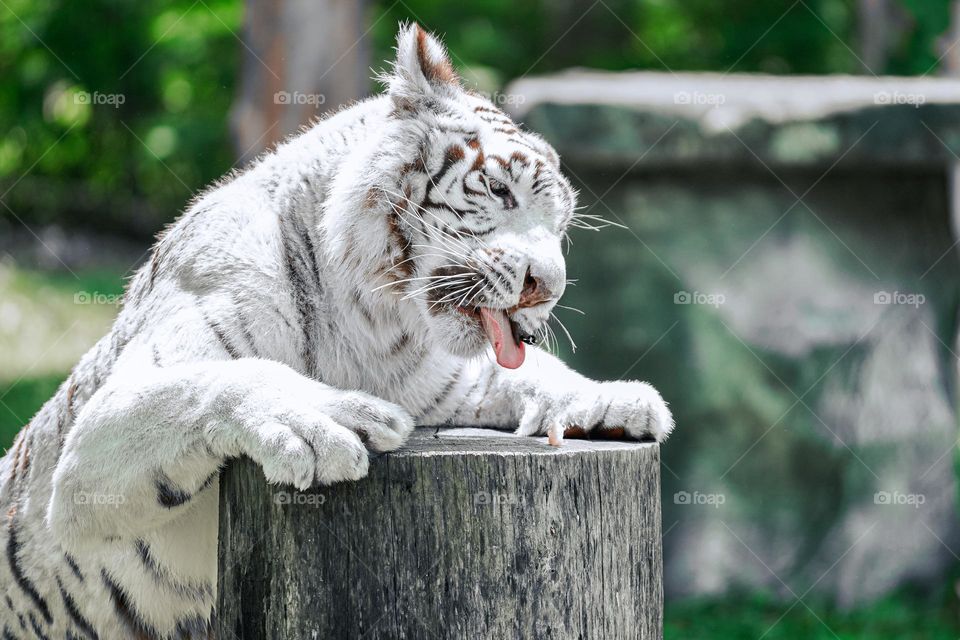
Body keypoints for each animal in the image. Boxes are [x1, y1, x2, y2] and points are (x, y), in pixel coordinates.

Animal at [0, 25, 676, 640]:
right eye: (499, 189)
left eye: (561, 226)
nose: (549, 287)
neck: (372, 326)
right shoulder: (92, 446)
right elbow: (219, 378)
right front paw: (321, 421)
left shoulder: (448, 387)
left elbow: (530, 371)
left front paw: (617, 398)